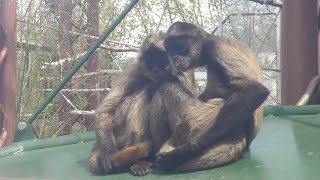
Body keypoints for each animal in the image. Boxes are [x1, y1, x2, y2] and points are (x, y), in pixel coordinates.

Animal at [155, 21, 270, 171]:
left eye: (181, 47)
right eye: (171, 51)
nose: (174, 58)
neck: (210, 41)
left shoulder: (216, 49)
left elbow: (254, 90)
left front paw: (186, 151)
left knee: (166, 83)